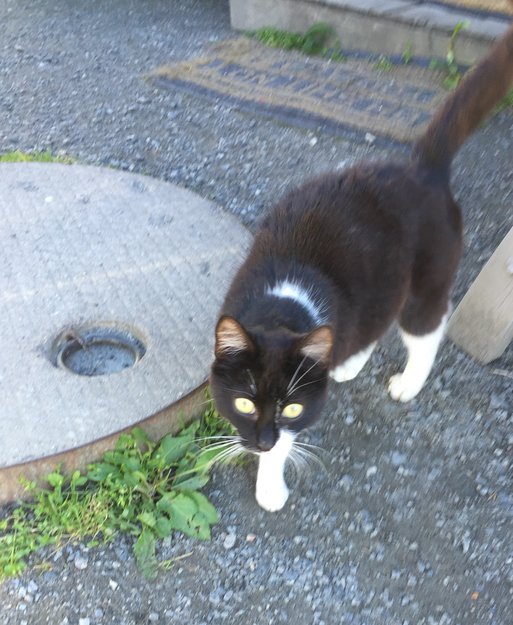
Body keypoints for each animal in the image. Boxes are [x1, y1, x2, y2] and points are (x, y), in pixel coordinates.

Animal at [210, 16, 513, 512]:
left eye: (291, 408)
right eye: (244, 403)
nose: (262, 441)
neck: (282, 305)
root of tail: (421, 169)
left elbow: (292, 441)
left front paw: (270, 483)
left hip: (427, 276)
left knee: (427, 325)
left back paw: (408, 382)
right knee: (373, 318)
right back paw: (346, 362)